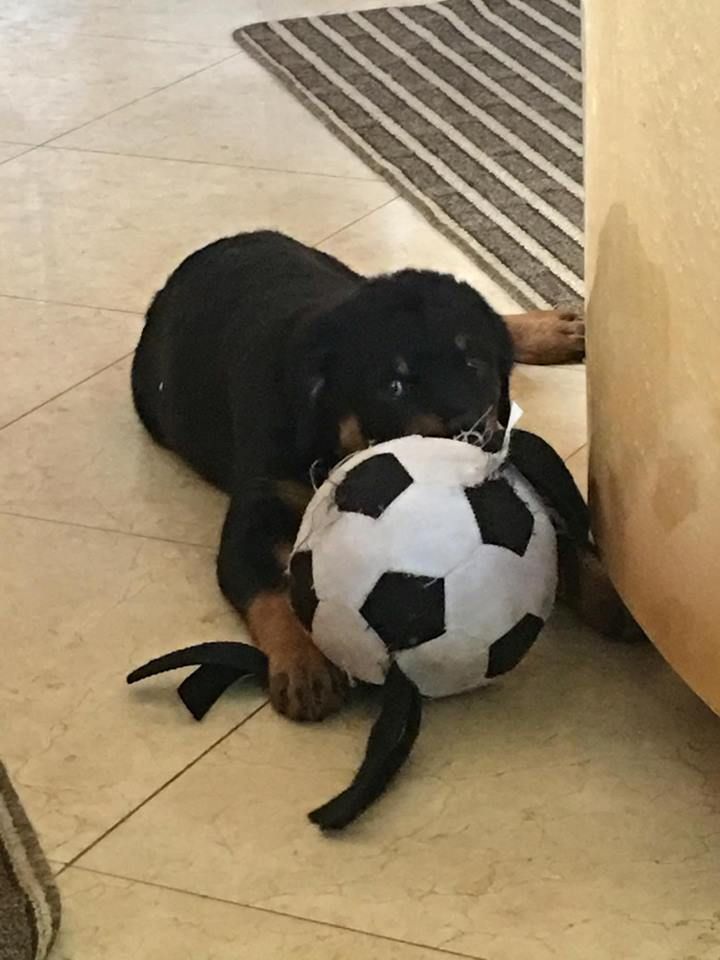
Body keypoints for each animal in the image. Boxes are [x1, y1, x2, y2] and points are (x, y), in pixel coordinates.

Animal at [131, 230, 614, 721]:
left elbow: (558, 540)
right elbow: (270, 589)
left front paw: (609, 592)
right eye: (393, 387)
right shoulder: (255, 513)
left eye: (474, 365)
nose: (473, 434)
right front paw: (306, 666)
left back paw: (557, 328)